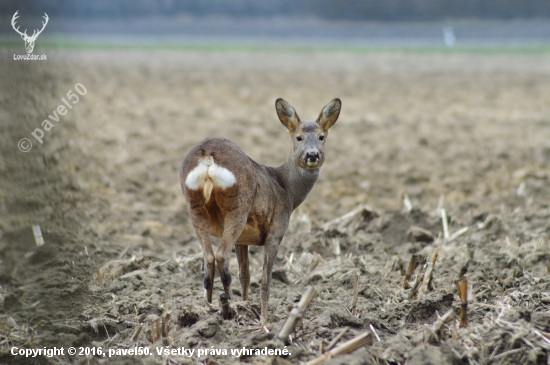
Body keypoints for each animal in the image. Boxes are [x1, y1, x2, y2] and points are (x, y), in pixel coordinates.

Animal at [181, 98, 340, 322]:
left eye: (321, 136)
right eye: (298, 137)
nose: (312, 155)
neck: (288, 190)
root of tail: (207, 158)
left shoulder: (243, 239)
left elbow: (245, 275)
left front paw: (247, 305)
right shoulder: (276, 230)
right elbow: (265, 280)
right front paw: (264, 319)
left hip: (194, 206)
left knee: (209, 259)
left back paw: (209, 308)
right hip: (237, 206)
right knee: (221, 256)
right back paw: (228, 307)